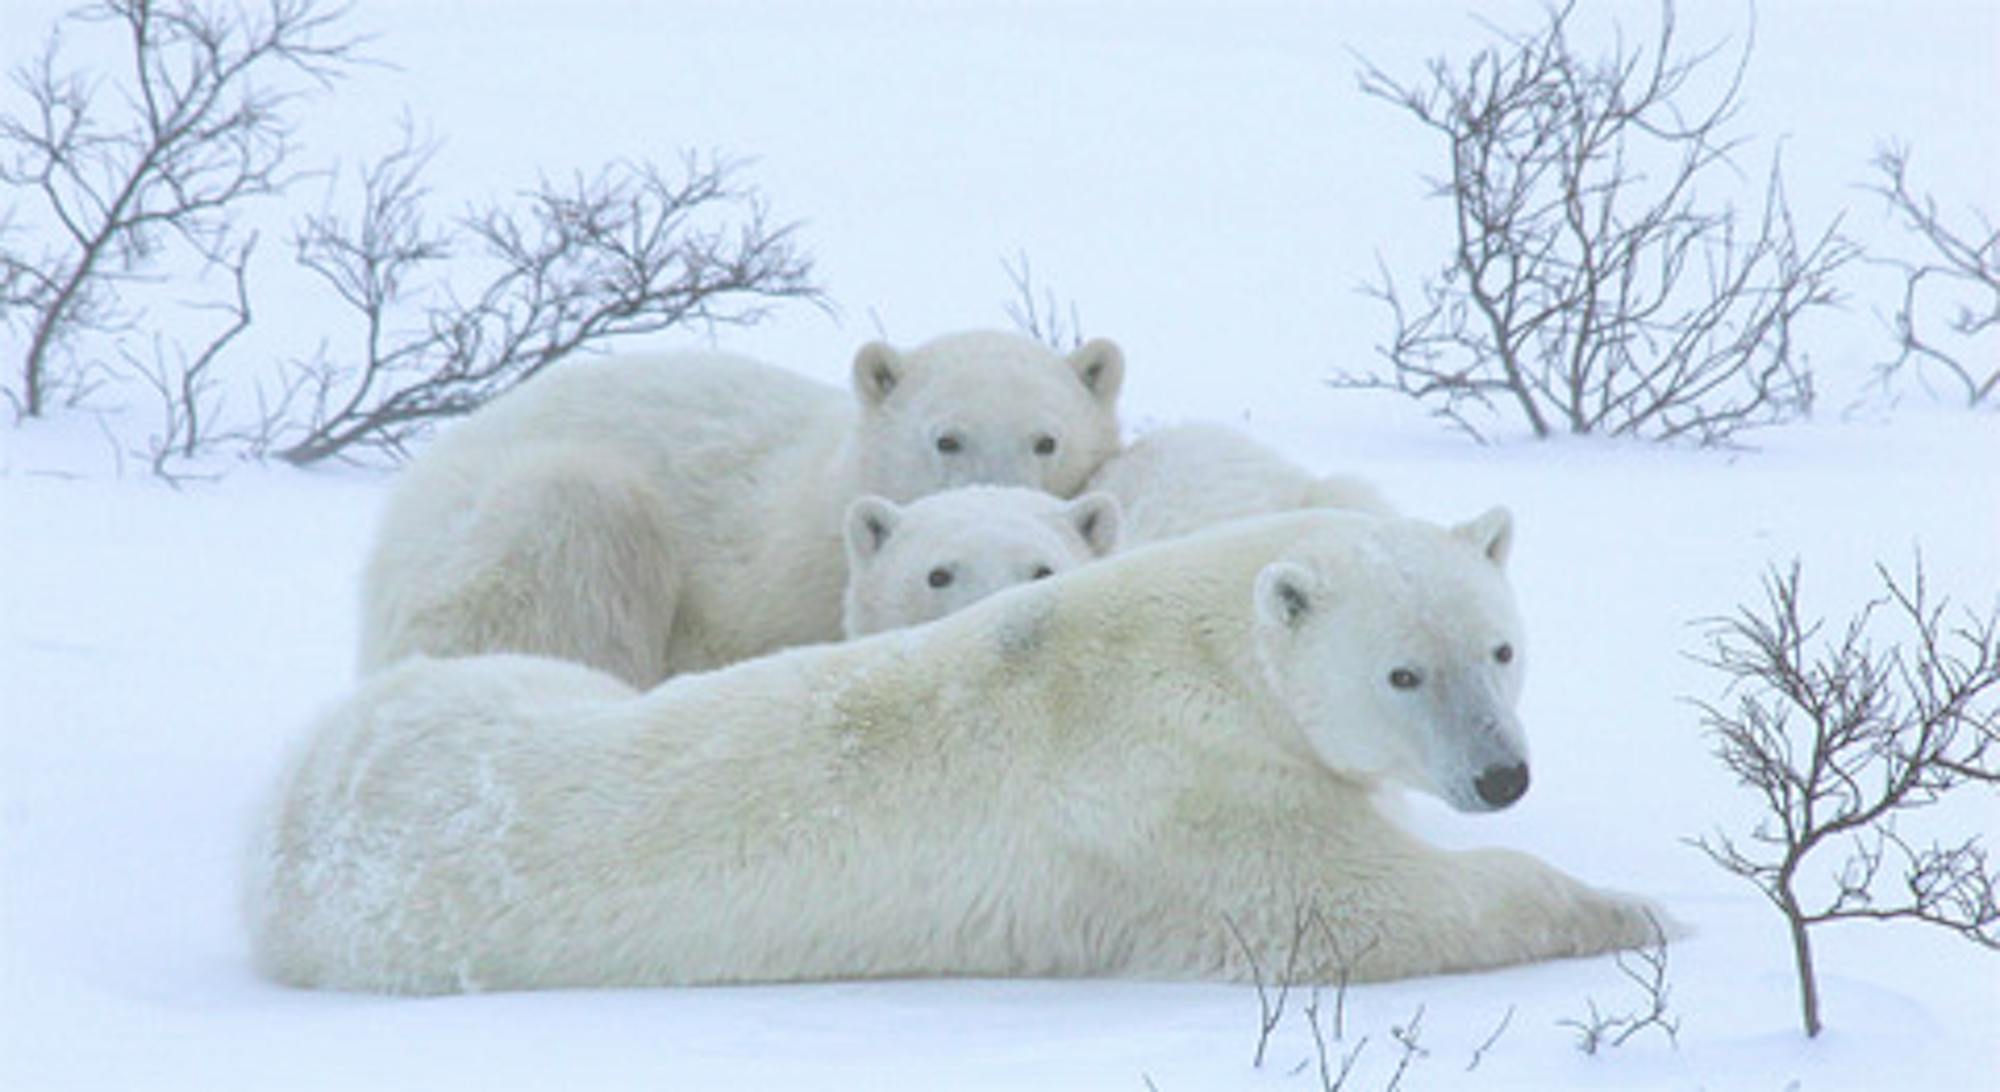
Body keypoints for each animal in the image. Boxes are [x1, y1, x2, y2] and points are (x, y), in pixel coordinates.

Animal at [250, 506, 1664, 992]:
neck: (1191, 647)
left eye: (1500, 649)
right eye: (1401, 672)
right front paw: (1637, 909)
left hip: (515, 685)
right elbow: (1357, 909)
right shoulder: (1177, 804)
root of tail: (285, 815)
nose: (1500, 776)